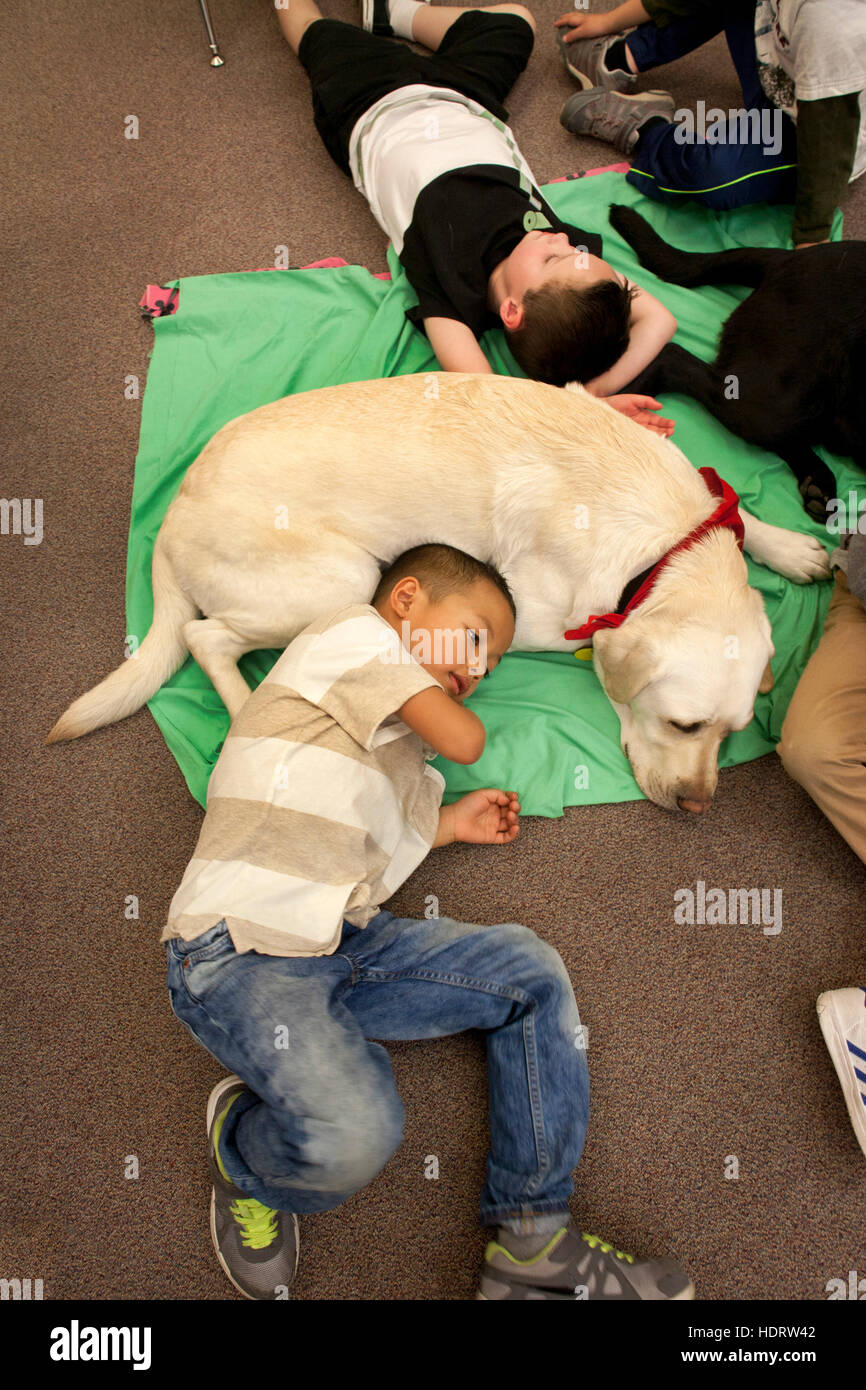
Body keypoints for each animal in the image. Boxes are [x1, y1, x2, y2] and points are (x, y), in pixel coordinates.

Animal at [48, 375, 834, 811]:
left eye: (733, 734)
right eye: (683, 726)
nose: (699, 805)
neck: (666, 546)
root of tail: (170, 516)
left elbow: (733, 510)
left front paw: (790, 546)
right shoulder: (546, 616)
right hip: (341, 579)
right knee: (204, 636)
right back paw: (249, 711)